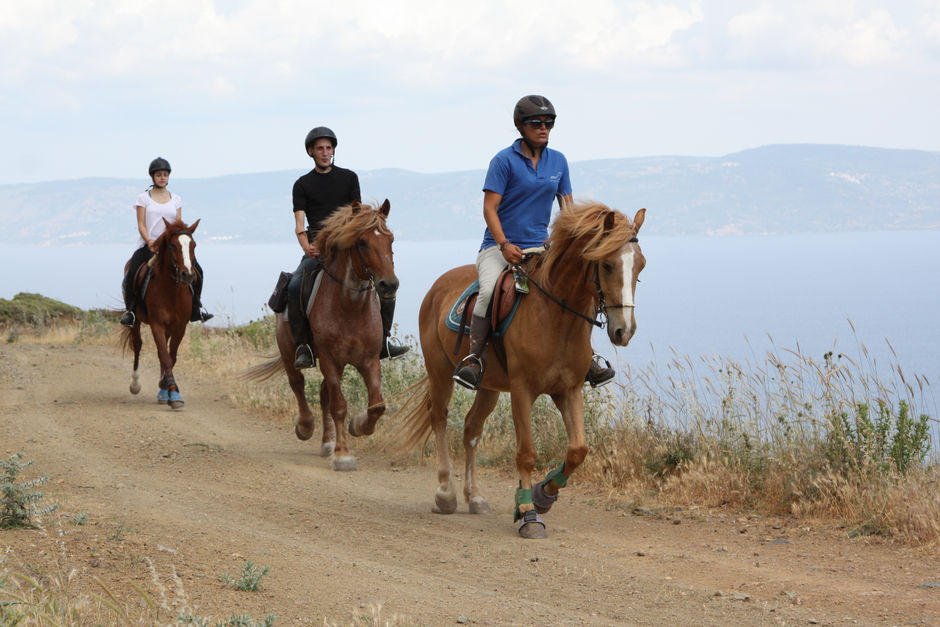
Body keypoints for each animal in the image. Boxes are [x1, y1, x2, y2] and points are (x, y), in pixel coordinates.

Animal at [122, 218, 201, 410]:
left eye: (193, 245)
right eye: (172, 245)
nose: (187, 275)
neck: (171, 290)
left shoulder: (179, 327)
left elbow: (170, 357)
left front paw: (168, 388)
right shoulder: (156, 324)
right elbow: (165, 356)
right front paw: (172, 390)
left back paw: (162, 392)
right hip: (136, 321)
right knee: (138, 345)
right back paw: (135, 384)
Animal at [241, 201, 398, 472]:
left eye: (390, 239)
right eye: (362, 242)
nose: (389, 285)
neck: (350, 306)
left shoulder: (368, 360)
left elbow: (377, 405)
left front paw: (358, 426)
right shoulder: (329, 359)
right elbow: (339, 406)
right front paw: (343, 455)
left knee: (324, 394)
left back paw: (327, 443)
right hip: (290, 351)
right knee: (298, 385)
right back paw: (306, 426)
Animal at [396, 202, 648, 540]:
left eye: (640, 267)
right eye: (607, 265)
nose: (625, 331)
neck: (556, 317)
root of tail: (439, 285)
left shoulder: (568, 390)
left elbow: (578, 450)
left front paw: (544, 495)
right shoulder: (522, 390)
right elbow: (526, 453)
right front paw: (529, 512)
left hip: (488, 386)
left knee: (471, 429)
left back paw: (474, 496)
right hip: (439, 372)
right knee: (439, 418)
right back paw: (446, 493)